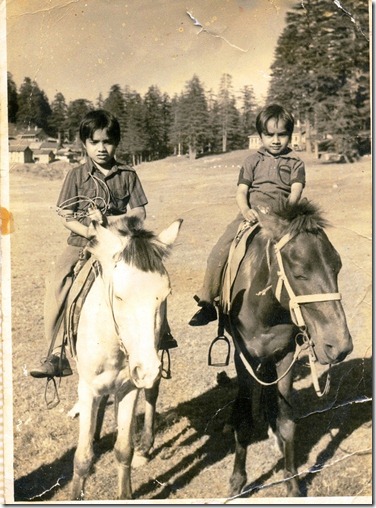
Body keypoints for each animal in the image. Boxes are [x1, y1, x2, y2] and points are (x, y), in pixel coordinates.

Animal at [223, 200, 352, 498]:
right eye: (298, 273)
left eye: (337, 267)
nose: (339, 346)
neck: (265, 311)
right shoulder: (244, 360)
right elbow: (244, 422)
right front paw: (238, 479)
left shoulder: (286, 357)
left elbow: (287, 422)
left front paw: (291, 480)